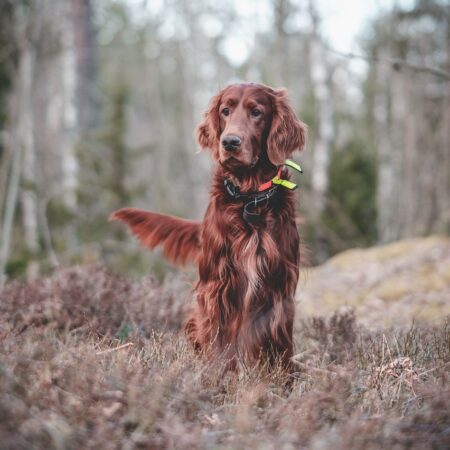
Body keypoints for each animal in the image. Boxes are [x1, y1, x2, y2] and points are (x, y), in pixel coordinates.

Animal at [110, 82, 306, 374]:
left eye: (257, 112)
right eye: (225, 111)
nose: (230, 142)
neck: (249, 198)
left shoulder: (279, 284)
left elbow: (279, 343)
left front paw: (281, 380)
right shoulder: (217, 284)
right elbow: (218, 340)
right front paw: (217, 377)